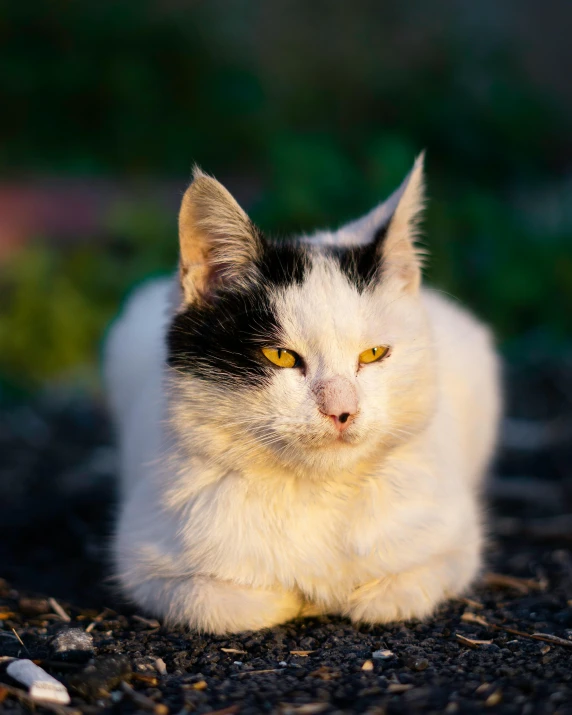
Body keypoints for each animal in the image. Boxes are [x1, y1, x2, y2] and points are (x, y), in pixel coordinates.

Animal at [105, 155, 498, 632]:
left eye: (373, 354)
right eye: (279, 355)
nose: (342, 410)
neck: (318, 493)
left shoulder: (456, 544)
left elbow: (400, 590)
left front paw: (347, 596)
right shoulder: (143, 563)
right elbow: (222, 602)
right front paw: (298, 600)